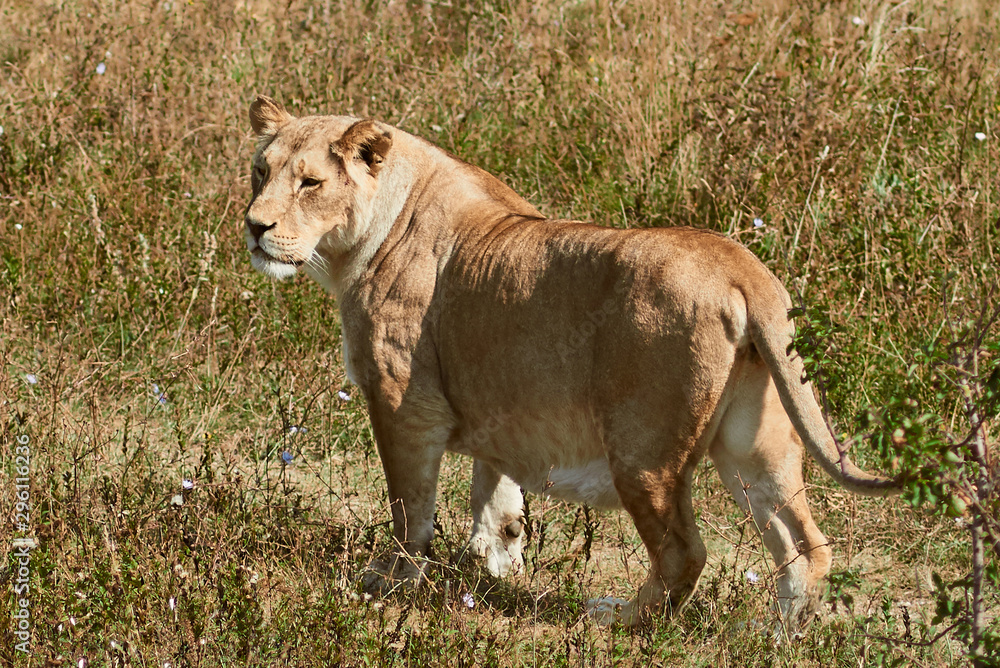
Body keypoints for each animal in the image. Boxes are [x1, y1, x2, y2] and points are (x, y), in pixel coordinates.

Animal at [243, 95, 898, 630]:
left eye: (310, 183)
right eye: (260, 171)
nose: (253, 226)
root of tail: (743, 267)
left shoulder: (403, 404)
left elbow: (410, 509)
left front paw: (390, 582)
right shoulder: (497, 405)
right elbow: (495, 492)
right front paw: (497, 564)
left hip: (642, 450)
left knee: (685, 553)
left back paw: (618, 619)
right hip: (754, 445)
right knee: (805, 544)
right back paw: (774, 634)